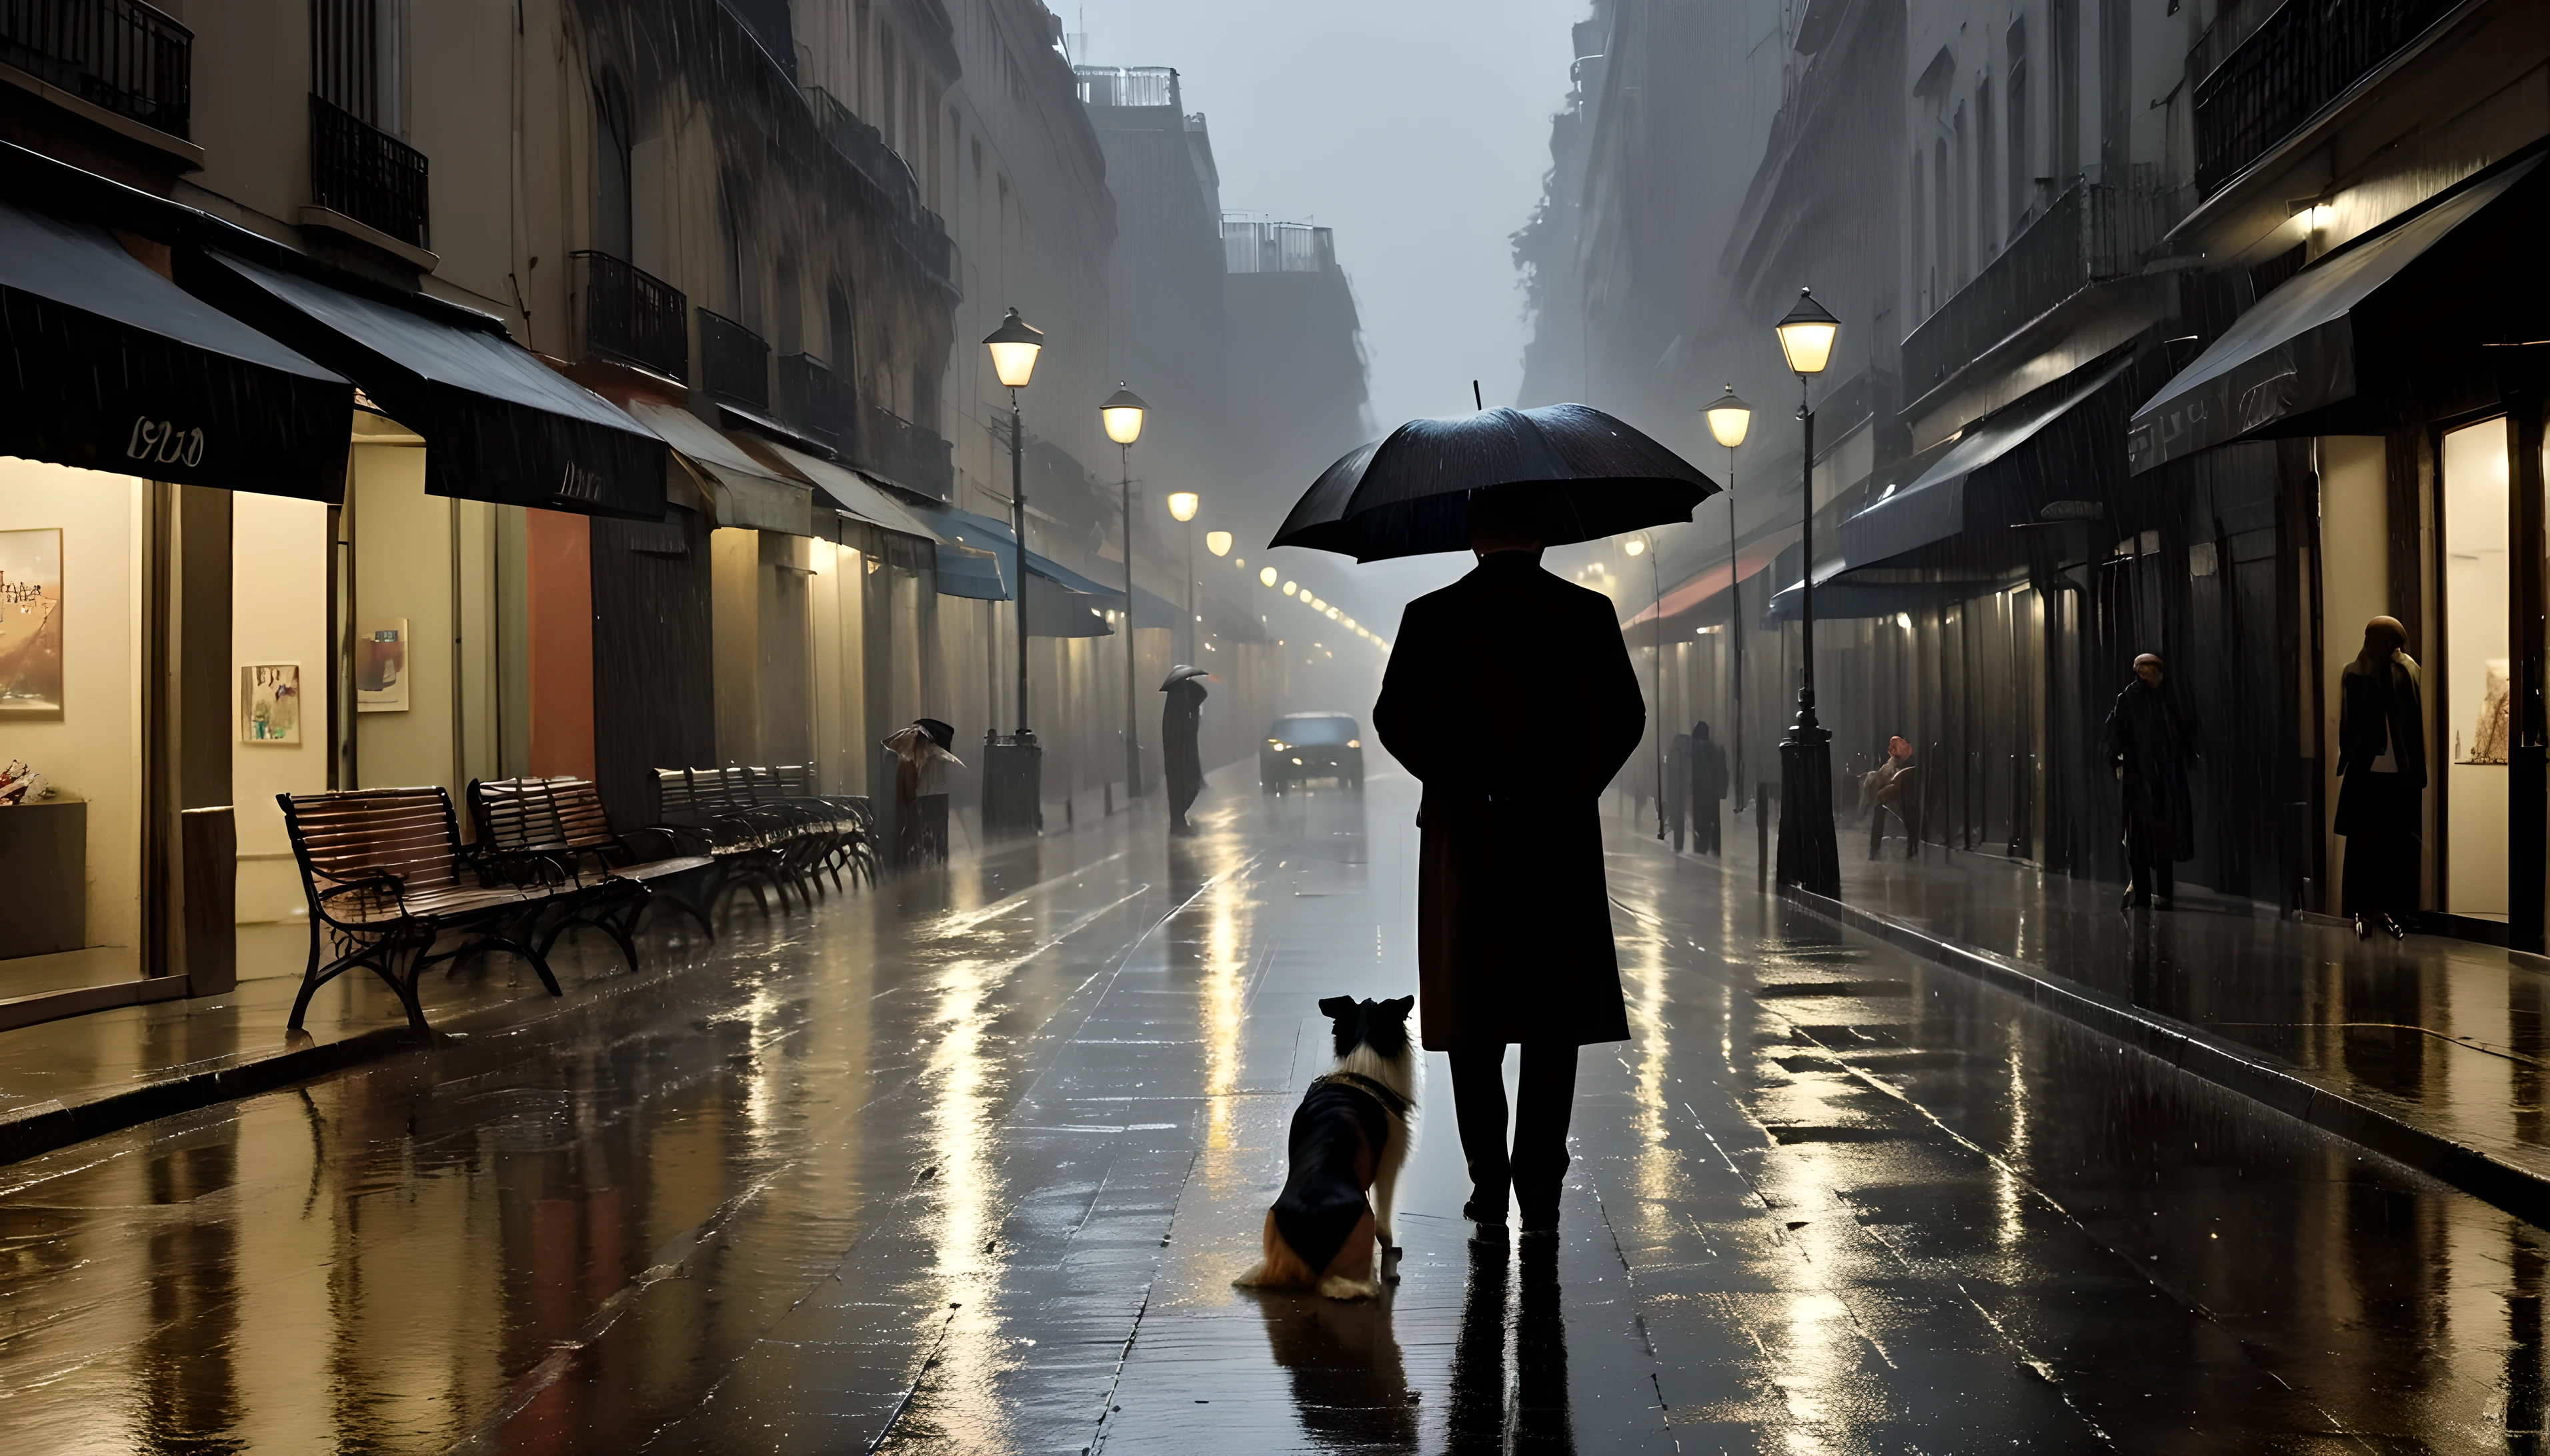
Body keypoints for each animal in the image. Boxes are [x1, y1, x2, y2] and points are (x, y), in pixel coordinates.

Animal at [1234, 999, 1418, 1305]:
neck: (1362, 1055)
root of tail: (1312, 1214)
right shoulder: (1389, 1164)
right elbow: (1384, 1225)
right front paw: (1391, 1256)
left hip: (1278, 1258)